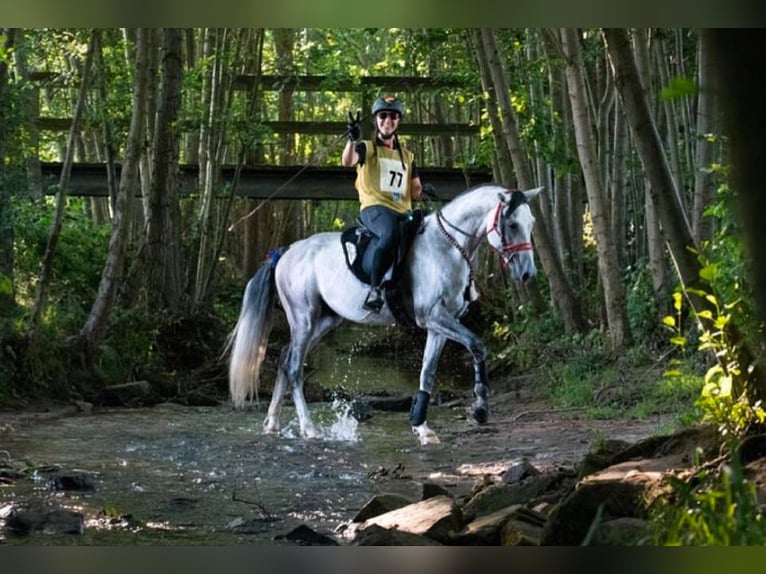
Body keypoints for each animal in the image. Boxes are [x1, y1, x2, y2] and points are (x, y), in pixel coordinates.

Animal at [225, 184, 544, 446]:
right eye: (512, 224)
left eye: (531, 224)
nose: (528, 273)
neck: (448, 246)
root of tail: (285, 252)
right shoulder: (433, 317)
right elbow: (477, 345)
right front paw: (479, 409)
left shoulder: (439, 325)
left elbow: (428, 372)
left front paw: (422, 428)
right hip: (304, 318)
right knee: (293, 366)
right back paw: (309, 428)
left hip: (323, 321)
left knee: (284, 357)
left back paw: (271, 423)